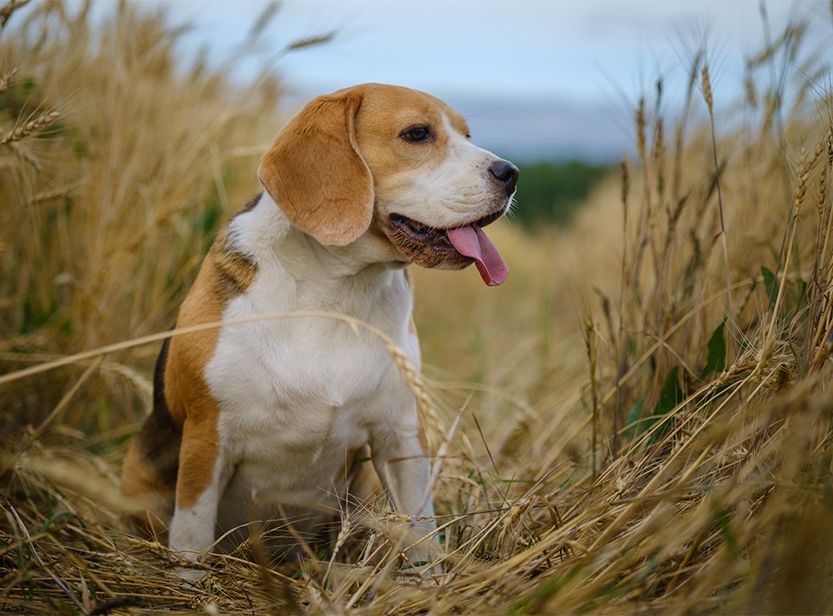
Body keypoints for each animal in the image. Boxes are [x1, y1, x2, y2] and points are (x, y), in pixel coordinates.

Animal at [120, 82, 516, 572]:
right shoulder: (206, 440)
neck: (335, 295)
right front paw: (189, 582)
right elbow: (191, 542)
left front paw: (428, 581)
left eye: (466, 134)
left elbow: (422, 533)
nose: (511, 173)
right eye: (418, 134)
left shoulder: (401, 433)